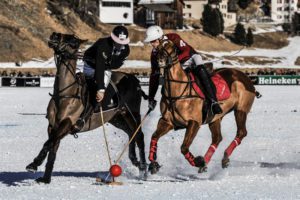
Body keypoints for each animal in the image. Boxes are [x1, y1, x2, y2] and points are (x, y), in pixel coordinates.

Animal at [26, 32, 148, 184]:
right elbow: (52, 147)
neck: (65, 93)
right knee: (131, 133)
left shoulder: (67, 123)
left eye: (73, 41)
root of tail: (136, 81)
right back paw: (135, 160)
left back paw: (144, 169)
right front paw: (46, 178)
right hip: (117, 117)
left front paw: (34, 164)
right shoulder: (53, 125)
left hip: (132, 112)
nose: (55, 35)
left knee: (139, 135)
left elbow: (48, 143)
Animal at [148, 40, 260, 173]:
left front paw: (198, 161)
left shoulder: (194, 122)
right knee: (217, 138)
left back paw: (224, 157)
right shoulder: (166, 121)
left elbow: (184, 147)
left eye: (172, 46)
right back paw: (207, 161)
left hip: (241, 109)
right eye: (157, 47)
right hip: (216, 117)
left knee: (241, 132)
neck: (177, 91)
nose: (161, 59)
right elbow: (154, 136)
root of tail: (245, 76)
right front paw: (153, 163)